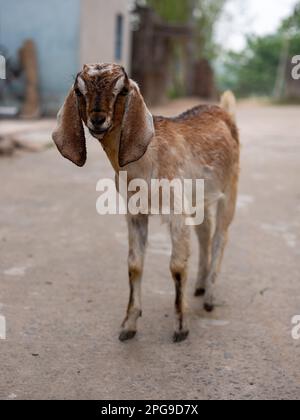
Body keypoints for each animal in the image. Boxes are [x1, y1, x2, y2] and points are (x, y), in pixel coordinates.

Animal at [51, 64, 239, 342]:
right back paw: (200, 285)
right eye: (79, 91)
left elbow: (177, 265)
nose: (98, 120)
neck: (147, 158)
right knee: (205, 233)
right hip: (200, 198)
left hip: (230, 187)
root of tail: (224, 110)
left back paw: (210, 296)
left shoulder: (176, 210)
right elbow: (134, 264)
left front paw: (181, 327)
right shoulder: (135, 212)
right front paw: (129, 325)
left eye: (122, 90)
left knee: (221, 236)